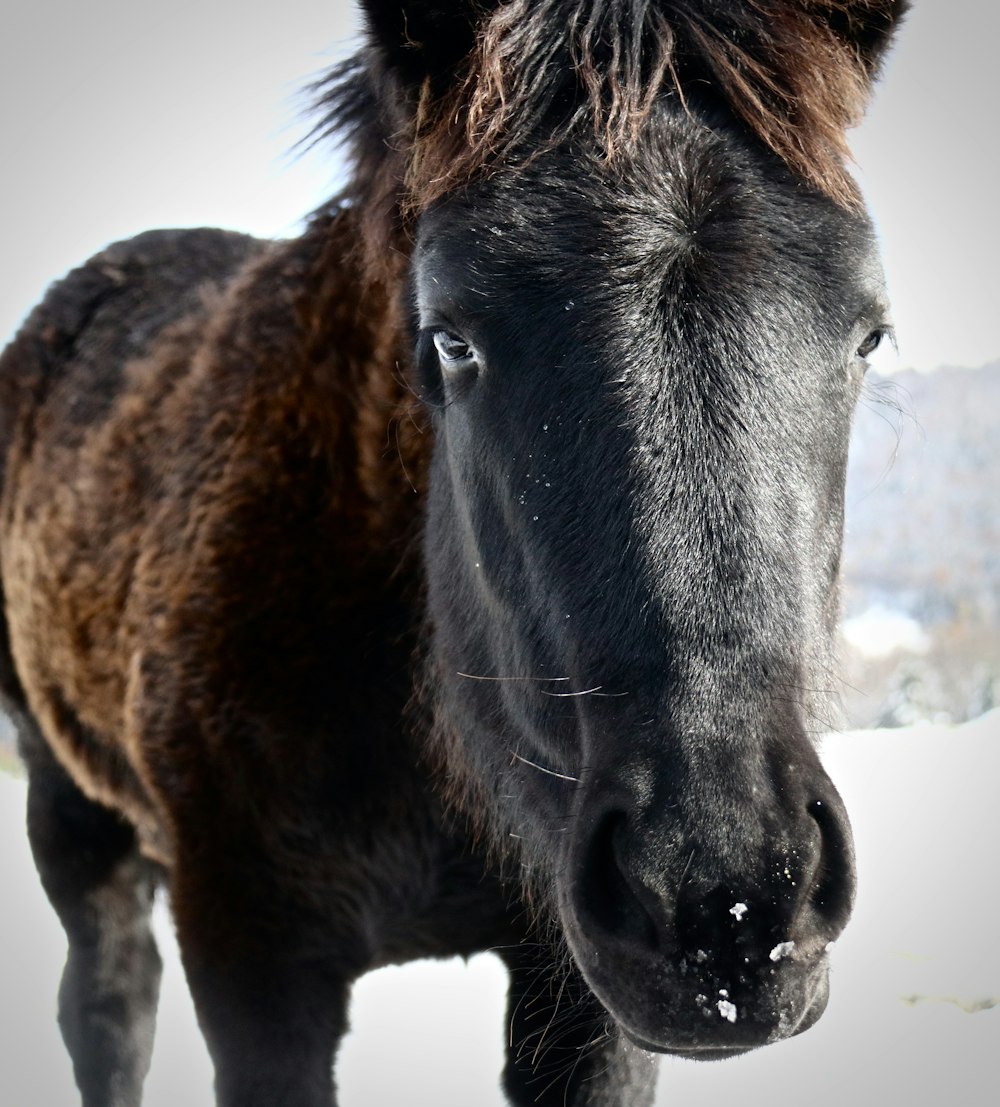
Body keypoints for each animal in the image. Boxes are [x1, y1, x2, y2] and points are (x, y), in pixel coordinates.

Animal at [0, 2, 908, 1107]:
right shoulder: (251, 964)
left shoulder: (583, 1002)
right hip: (70, 807)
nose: (725, 895)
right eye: (451, 338)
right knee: (108, 1009)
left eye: (867, 334)